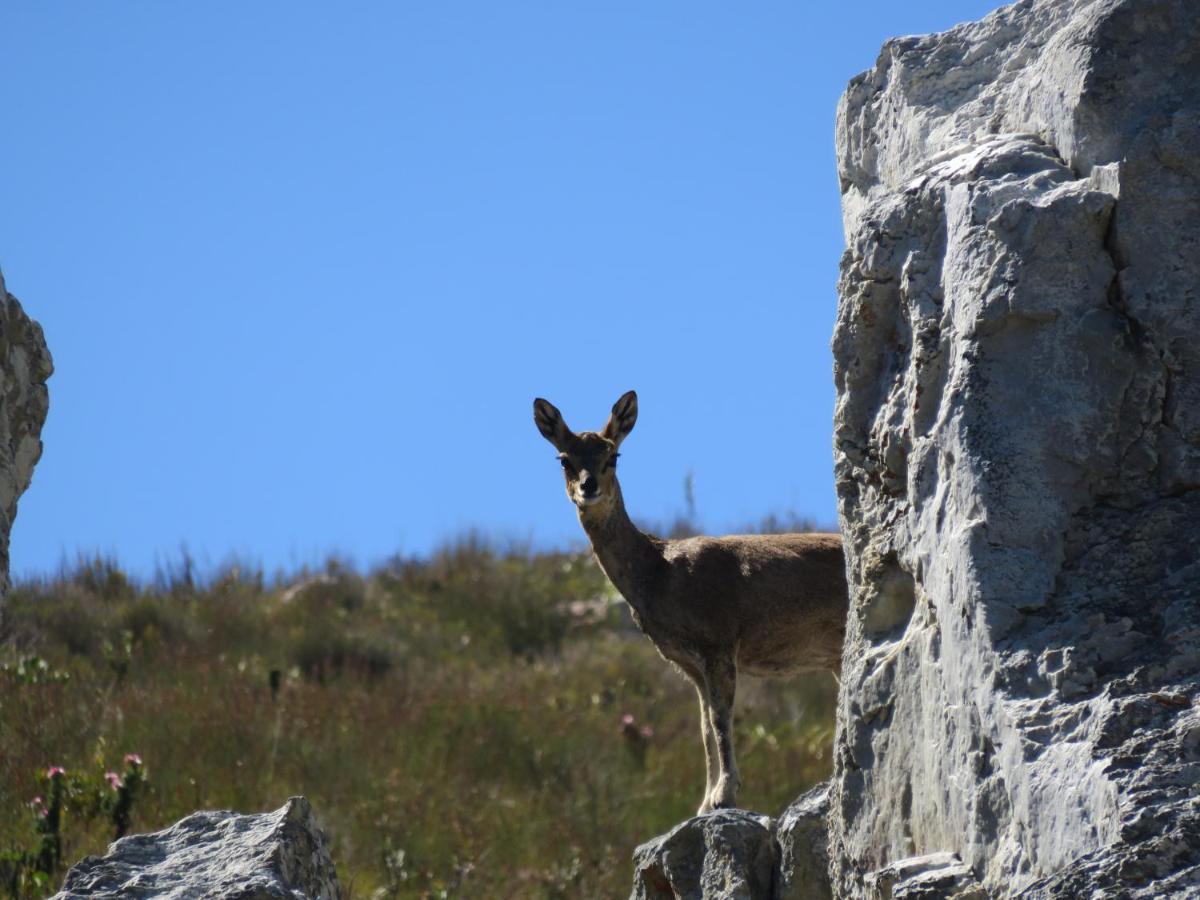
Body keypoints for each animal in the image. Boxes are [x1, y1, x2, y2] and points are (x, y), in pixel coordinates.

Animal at [530, 391, 849, 816]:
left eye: (613, 455)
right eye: (564, 458)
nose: (589, 486)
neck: (660, 575)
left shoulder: (719, 639)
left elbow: (720, 719)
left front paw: (724, 795)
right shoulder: (688, 662)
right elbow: (702, 726)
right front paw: (703, 802)